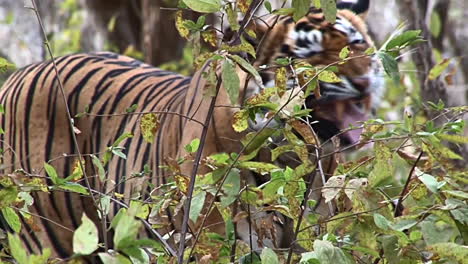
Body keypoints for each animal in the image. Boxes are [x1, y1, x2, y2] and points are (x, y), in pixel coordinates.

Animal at [0, 0, 384, 260]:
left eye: (357, 42)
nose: (365, 80)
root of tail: (17, 76)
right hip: (46, 236)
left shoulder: (314, 236)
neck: (288, 155)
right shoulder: (211, 239)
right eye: (311, 51)